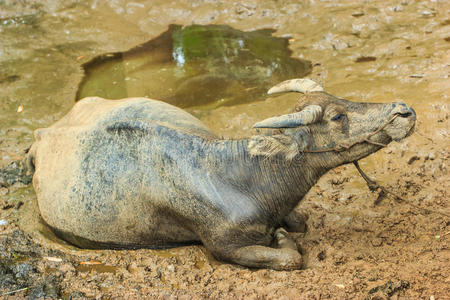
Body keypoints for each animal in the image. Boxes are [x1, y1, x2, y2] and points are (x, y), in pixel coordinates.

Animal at [28, 78, 414, 270]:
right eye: (336, 117)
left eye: (341, 100)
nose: (404, 111)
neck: (239, 178)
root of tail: (44, 134)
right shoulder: (224, 247)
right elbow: (290, 256)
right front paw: (282, 239)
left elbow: (300, 222)